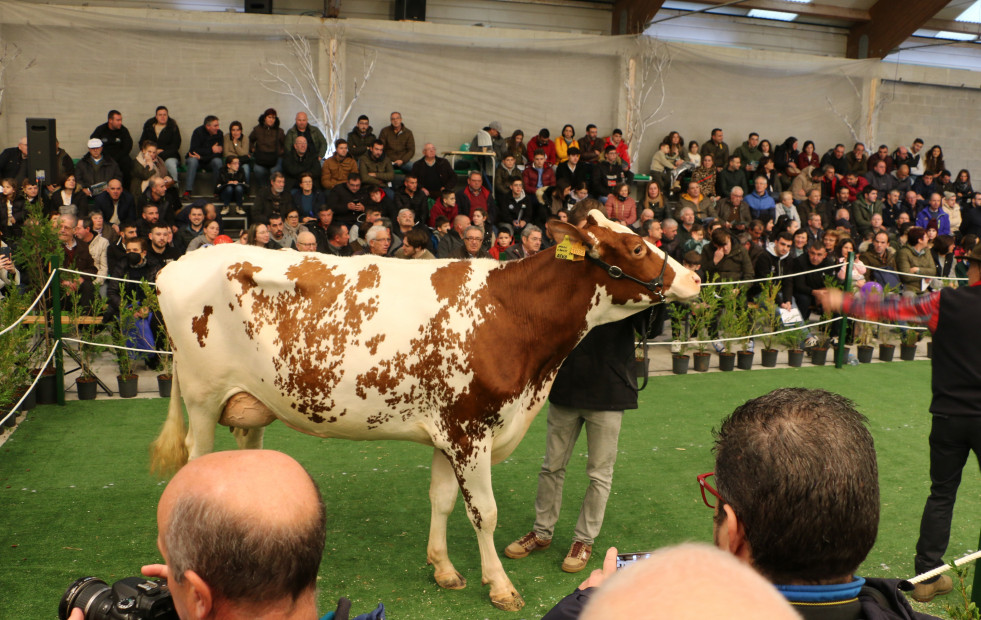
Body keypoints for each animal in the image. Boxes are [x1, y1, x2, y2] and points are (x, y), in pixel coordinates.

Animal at [149, 209, 700, 612]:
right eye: (636, 247)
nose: (695, 279)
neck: (511, 314)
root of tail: (177, 264)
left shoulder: (446, 429)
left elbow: (442, 499)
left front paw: (444, 569)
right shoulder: (470, 429)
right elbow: (485, 513)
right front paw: (500, 586)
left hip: (251, 405)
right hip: (202, 398)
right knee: (197, 465)